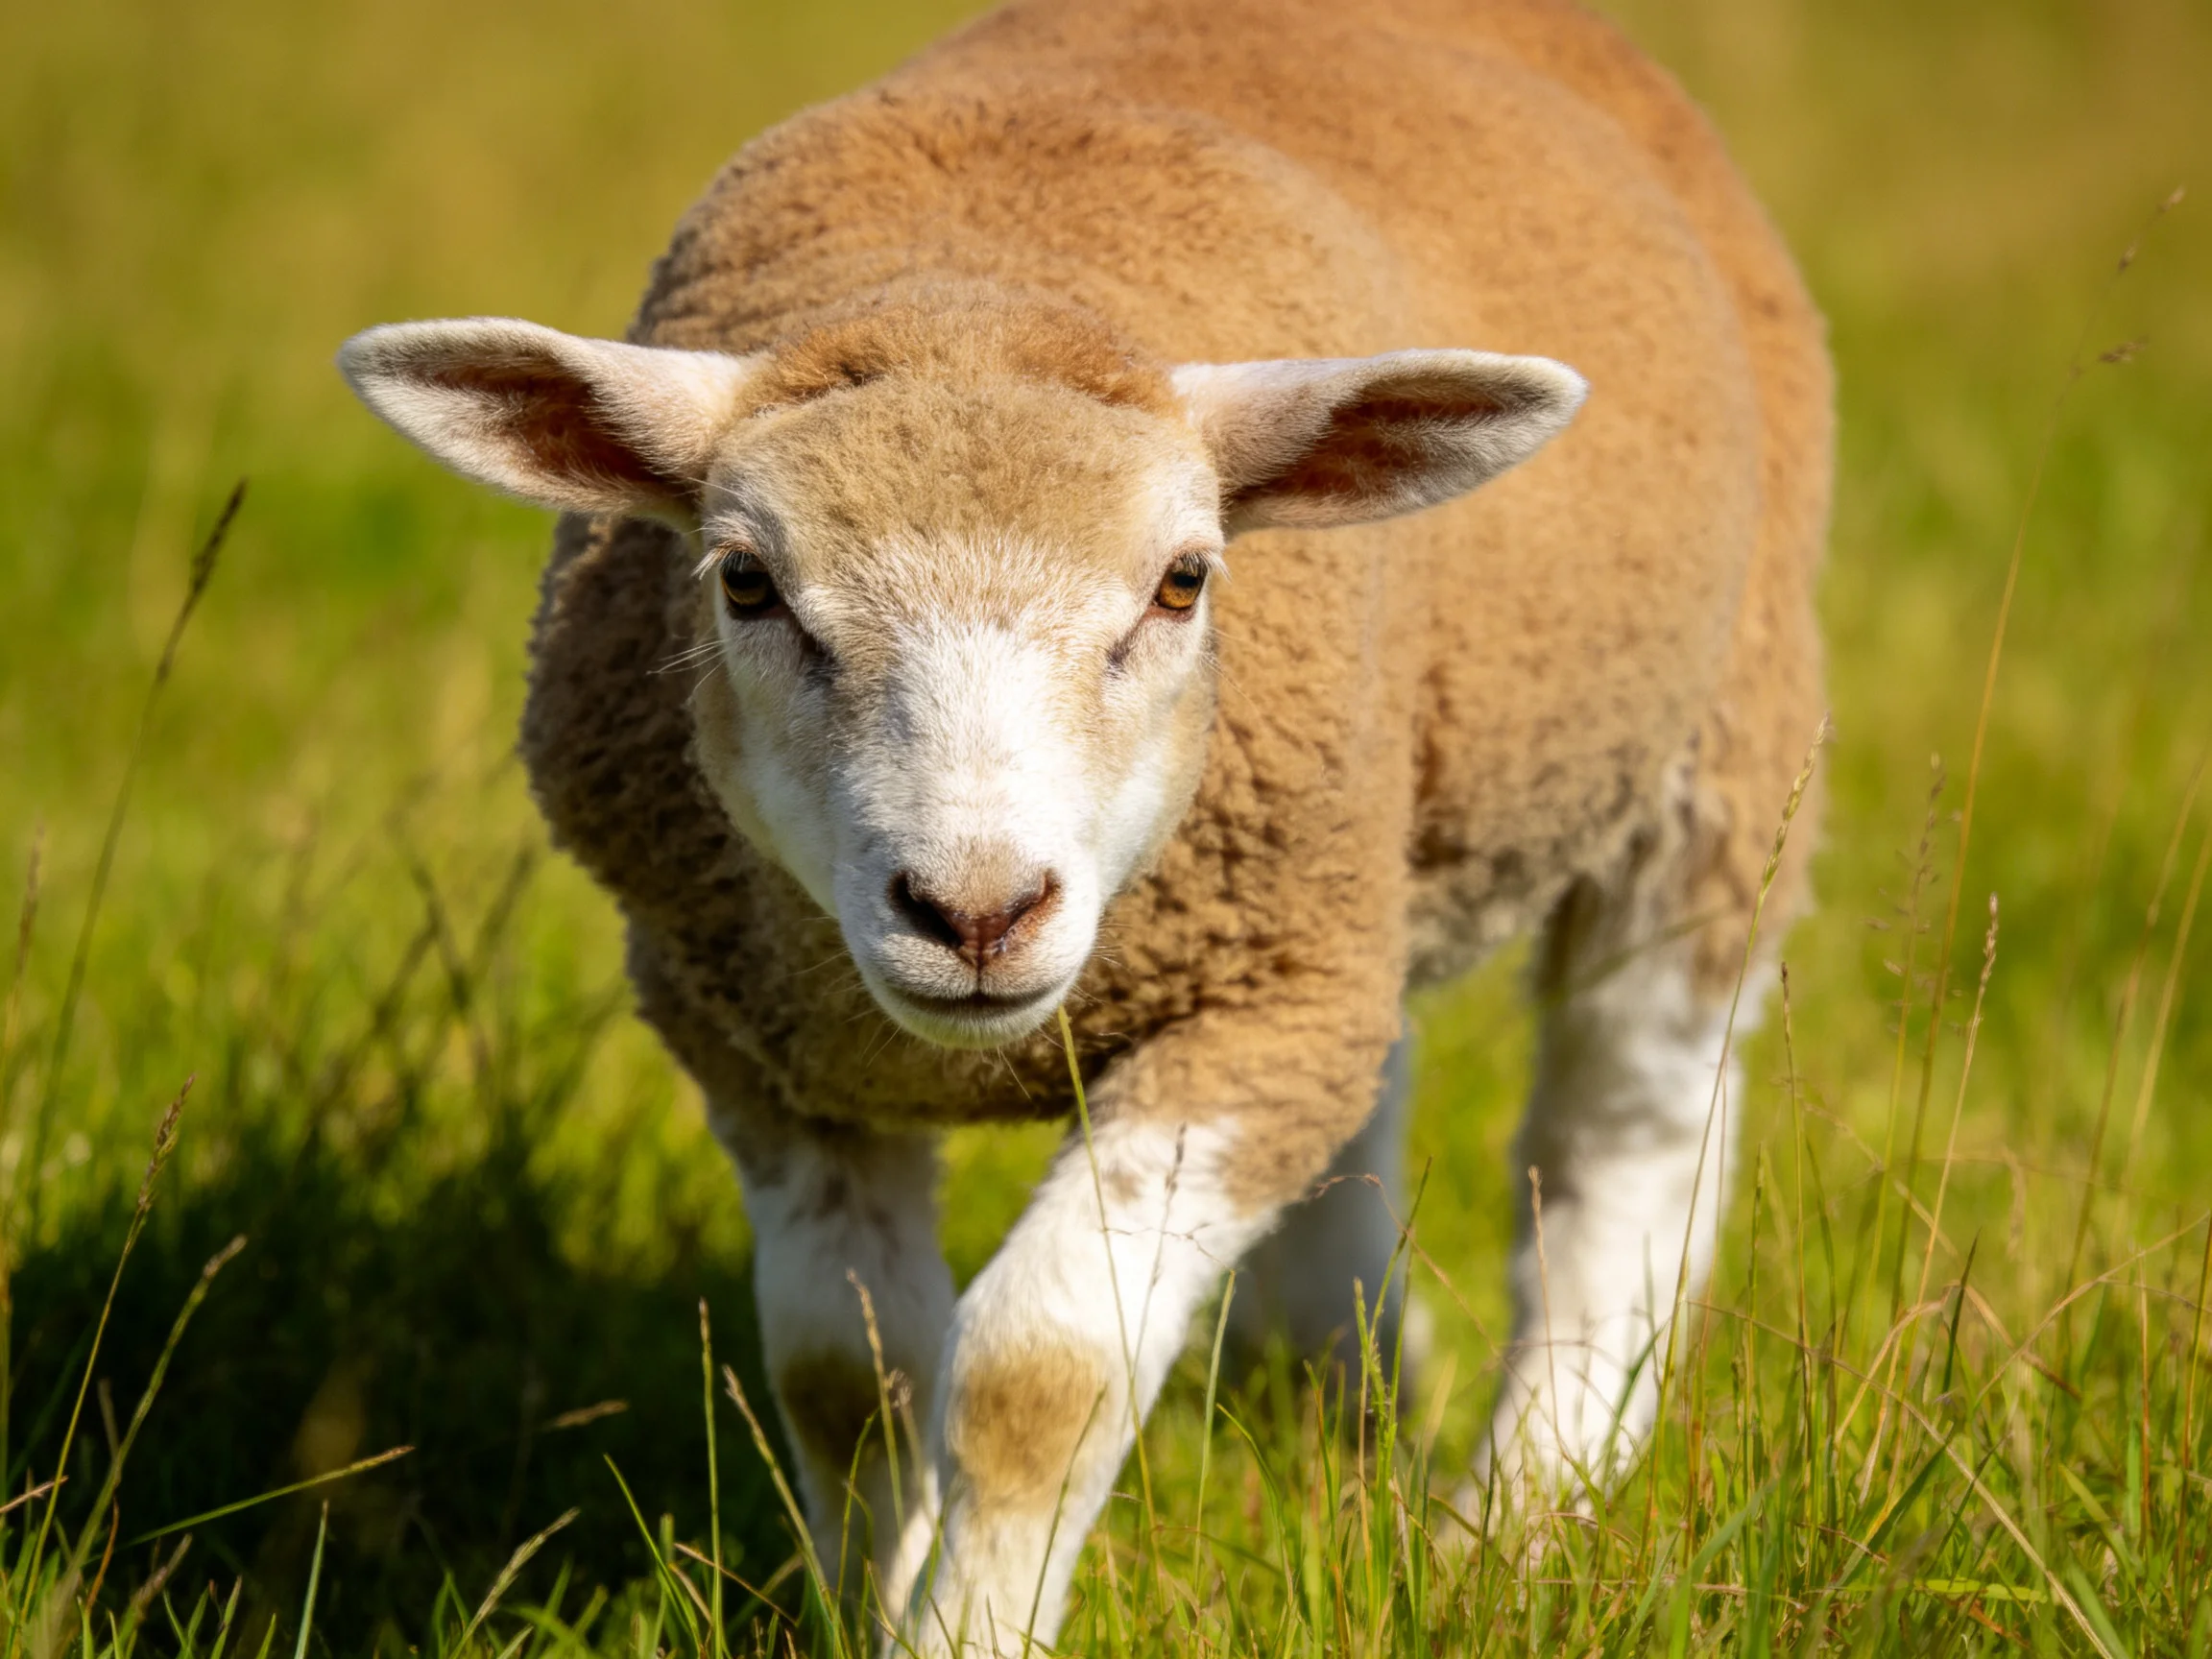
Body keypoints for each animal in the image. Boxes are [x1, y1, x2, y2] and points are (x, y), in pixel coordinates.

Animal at [337, 0, 1830, 1649]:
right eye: (743, 582)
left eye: (1184, 580)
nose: (976, 912)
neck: (987, 274)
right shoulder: (746, 1032)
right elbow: (847, 1376)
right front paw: (870, 1604)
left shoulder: (1249, 1011)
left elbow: (1038, 1374)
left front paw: (966, 1628)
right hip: (1344, 883)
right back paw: (1339, 1396)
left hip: (1712, 744)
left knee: (1624, 1140)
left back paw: (1520, 1514)